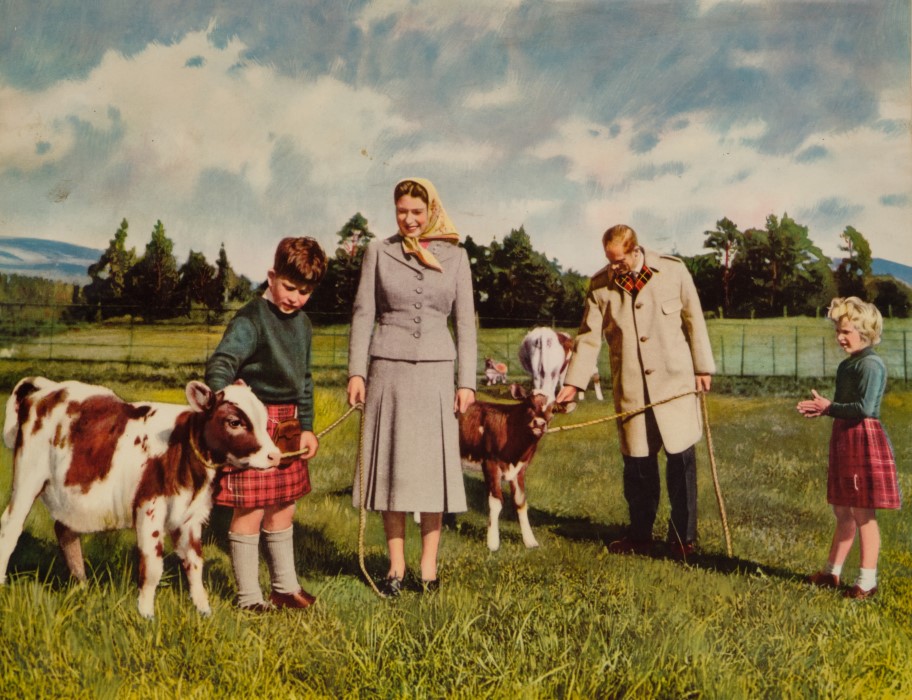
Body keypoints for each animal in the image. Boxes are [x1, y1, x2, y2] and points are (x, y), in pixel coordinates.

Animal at [0, 378, 280, 616]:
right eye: (234, 422)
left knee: (65, 531)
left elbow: (194, 563)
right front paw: (146, 614)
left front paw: (204, 611)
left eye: (264, 417)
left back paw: (81, 586)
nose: (275, 455)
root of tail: (46, 387)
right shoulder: (150, 508)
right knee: (10, 528)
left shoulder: (190, 516)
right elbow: (152, 566)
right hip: (28, 476)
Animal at [460, 382, 572, 552]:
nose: (539, 423)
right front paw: (493, 542)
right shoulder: (491, 464)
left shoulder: (520, 470)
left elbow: (521, 502)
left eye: (554, 409)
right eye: (529, 404)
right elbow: (496, 502)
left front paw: (530, 541)